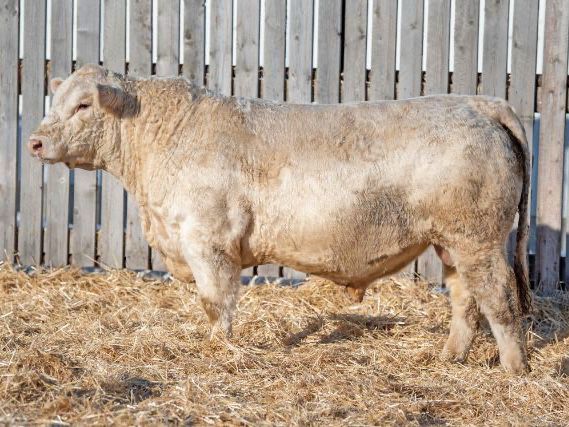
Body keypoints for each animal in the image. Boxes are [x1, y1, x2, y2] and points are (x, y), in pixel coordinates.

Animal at [28, 64, 531, 373]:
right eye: (55, 102)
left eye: (83, 105)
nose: (35, 141)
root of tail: (477, 102)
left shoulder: (208, 242)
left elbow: (217, 303)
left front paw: (220, 350)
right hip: (452, 242)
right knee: (466, 301)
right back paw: (449, 357)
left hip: (479, 239)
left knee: (500, 301)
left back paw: (514, 369)